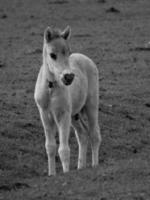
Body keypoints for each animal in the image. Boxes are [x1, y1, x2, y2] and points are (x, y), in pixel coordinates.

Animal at [34, 25, 101, 175]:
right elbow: (50, 147)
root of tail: (85, 57)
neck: (51, 88)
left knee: (94, 134)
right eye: (52, 55)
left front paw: (65, 173)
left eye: (68, 52)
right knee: (82, 134)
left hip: (91, 105)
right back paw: (81, 167)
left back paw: (95, 165)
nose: (69, 77)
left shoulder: (63, 115)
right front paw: (52, 174)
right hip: (74, 115)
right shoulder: (45, 115)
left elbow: (63, 149)